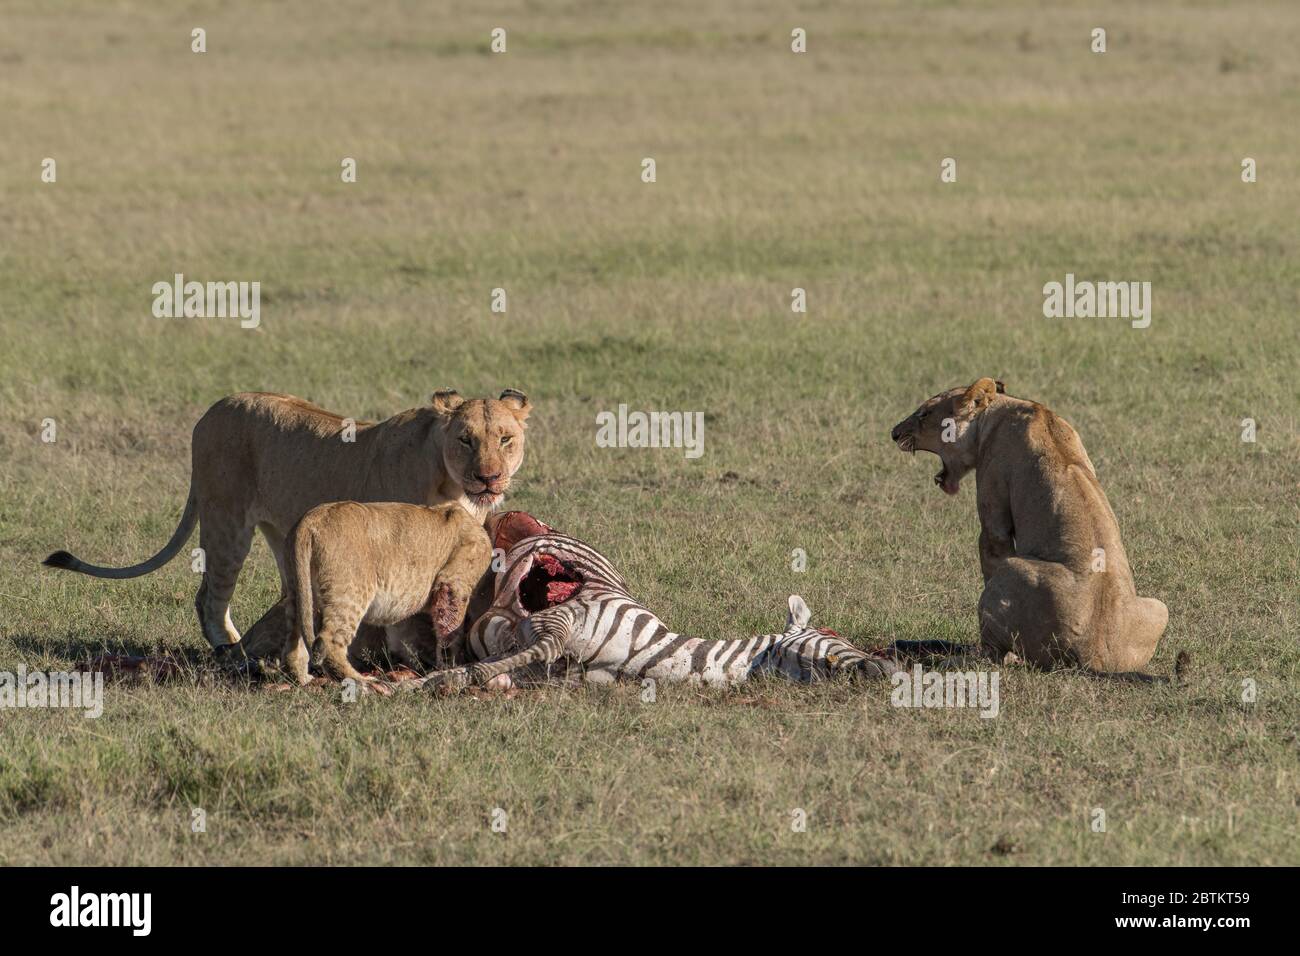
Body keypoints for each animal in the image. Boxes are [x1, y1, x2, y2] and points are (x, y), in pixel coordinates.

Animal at [43, 388, 531, 657]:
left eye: (506, 439)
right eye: (466, 440)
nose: (489, 477)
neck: (452, 482)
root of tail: (212, 410)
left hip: (282, 535)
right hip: (226, 520)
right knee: (209, 598)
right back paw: (229, 649)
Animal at [281, 501, 493, 684]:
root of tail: (310, 520)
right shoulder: (453, 582)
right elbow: (450, 630)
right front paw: (451, 666)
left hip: (298, 590)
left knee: (294, 638)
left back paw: (303, 679)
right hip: (350, 590)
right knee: (328, 641)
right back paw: (361, 681)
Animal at [422, 513, 902, 693]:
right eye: (834, 635)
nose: (890, 669)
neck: (647, 655)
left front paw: (449, 679)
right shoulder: (555, 618)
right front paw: (437, 681)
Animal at [889, 377, 1169, 676]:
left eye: (925, 413)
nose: (894, 433)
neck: (1001, 409)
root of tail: (1090, 656)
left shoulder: (994, 519)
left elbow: (991, 548)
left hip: (1011, 569)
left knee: (992, 654)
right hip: (1160, 606)